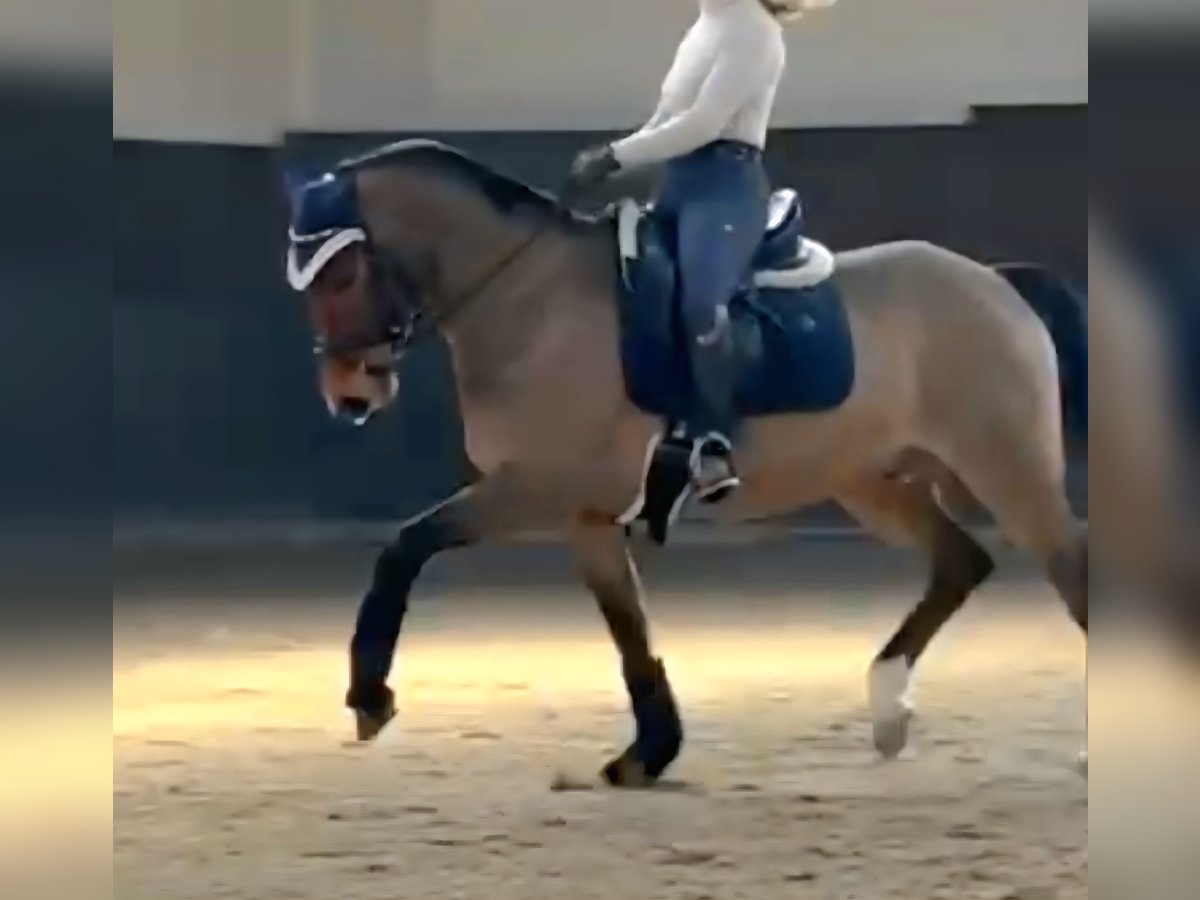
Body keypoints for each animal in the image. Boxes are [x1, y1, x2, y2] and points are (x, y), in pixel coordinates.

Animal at [283, 139, 1090, 786]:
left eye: (342, 273)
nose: (349, 392)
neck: (530, 303)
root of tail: (994, 281)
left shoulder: (536, 486)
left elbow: (406, 545)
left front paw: (369, 698)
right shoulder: (588, 515)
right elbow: (629, 631)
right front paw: (649, 753)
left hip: (1008, 469)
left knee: (1062, 567)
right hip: (875, 480)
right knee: (960, 562)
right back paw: (888, 710)